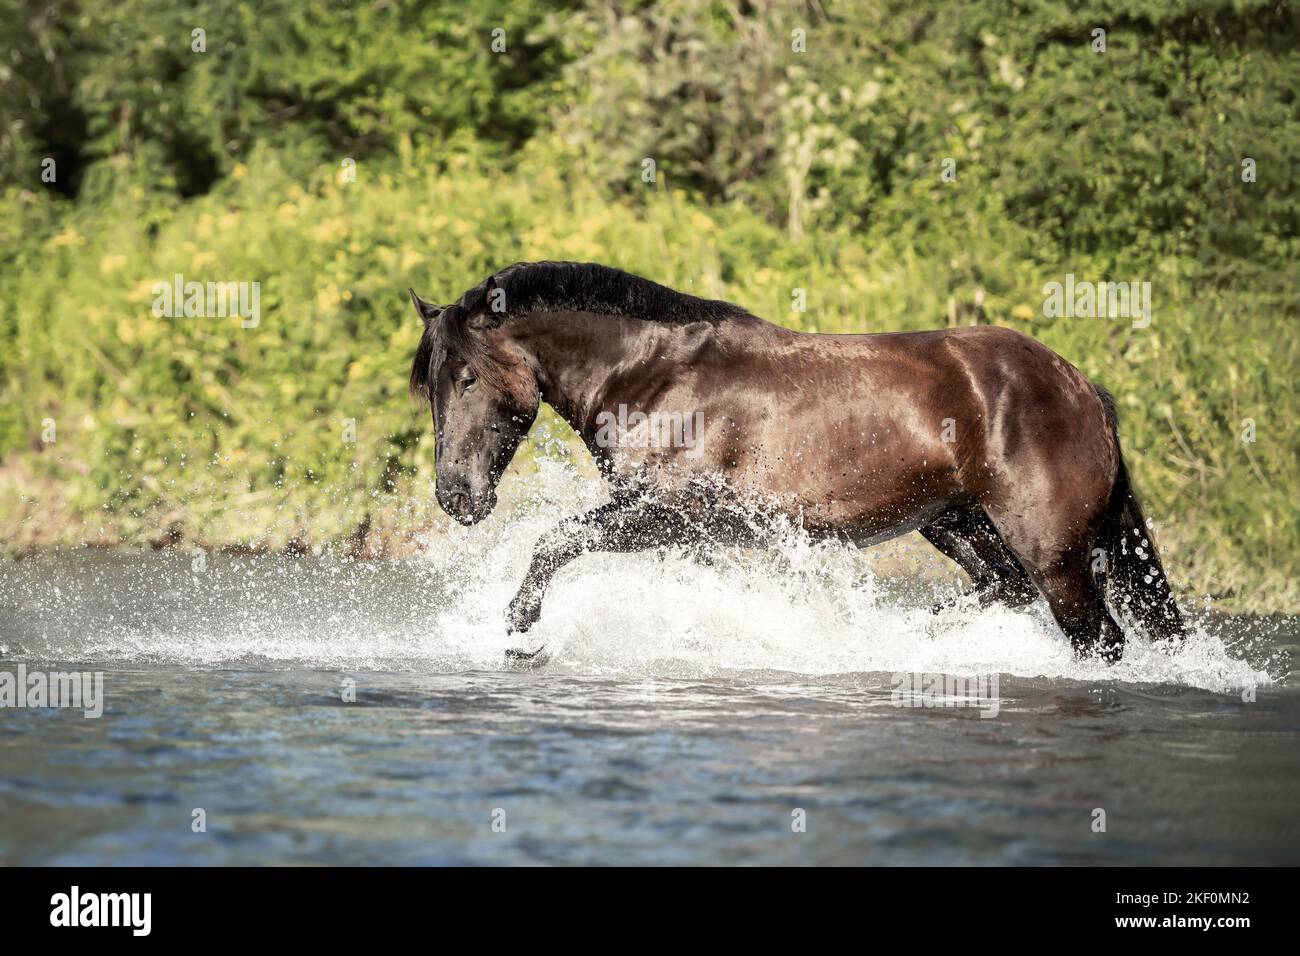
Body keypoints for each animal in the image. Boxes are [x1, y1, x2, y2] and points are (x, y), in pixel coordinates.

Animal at [407, 261, 1184, 663]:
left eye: (468, 378)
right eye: (432, 382)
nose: (455, 496)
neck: (655, 376)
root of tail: (1084, 390)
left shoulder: (668, 513)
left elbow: (557, 541)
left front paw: (520, 629)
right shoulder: (688, 534)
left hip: (1054, 553)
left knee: (1097, 639)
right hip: (953, 522)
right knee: (1002, 587)